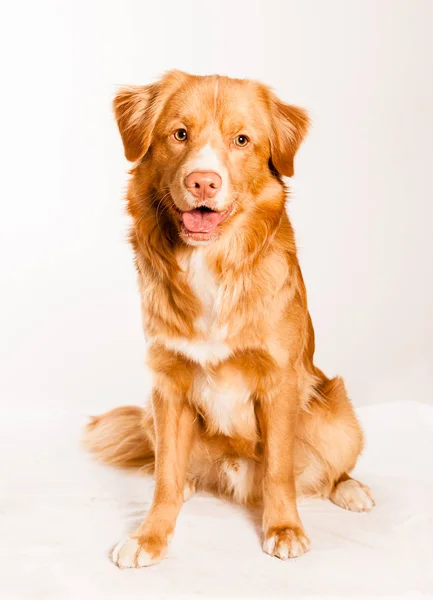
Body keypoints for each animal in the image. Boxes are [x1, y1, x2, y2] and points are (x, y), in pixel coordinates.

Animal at [83, 70, 372, 568]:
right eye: (180, 134)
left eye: (242, 140)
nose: (203, 182)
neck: (210, 262)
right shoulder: (168, 384)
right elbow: (165, 475)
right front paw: (151, 535)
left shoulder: (279, 381)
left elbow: (279, 469)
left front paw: (284, 528)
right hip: (152, 412)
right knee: (174, 468)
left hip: (337, 414)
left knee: (326, 469)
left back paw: (349, 489)